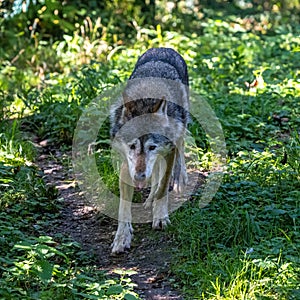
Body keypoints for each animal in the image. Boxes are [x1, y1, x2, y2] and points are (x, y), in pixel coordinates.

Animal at [110, 47, 190, 253]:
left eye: (152, 147)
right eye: (132, 146)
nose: (139, 177)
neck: (145, 102)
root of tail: (163, 48)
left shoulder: (168, 151)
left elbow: (163, 187)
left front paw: (160, 218)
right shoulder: (127, 164)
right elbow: (123, 207)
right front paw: (122, 237)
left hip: (181, 127)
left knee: (181, 148)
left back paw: (180, 179)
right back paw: (149, 200)